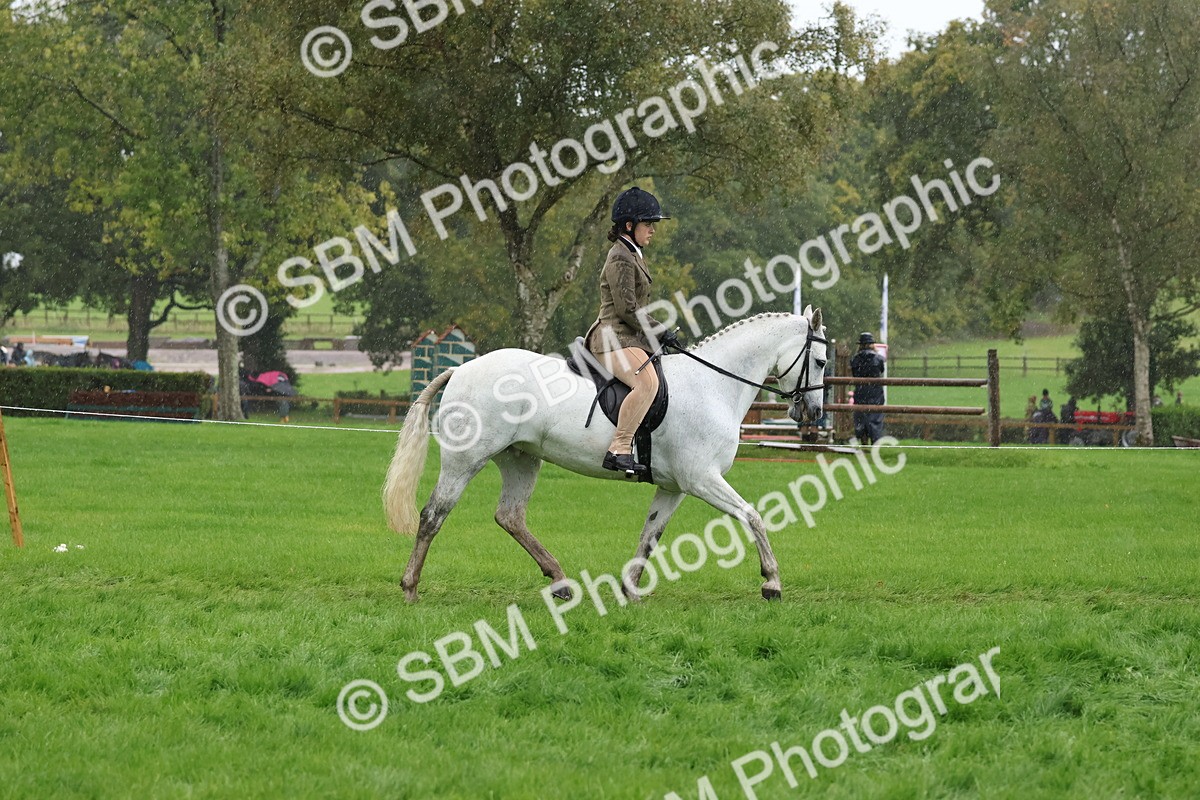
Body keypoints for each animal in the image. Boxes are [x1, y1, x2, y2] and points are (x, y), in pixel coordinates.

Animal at [383, 307, 827, 602]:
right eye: (822, 361)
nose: (812, 413)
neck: (712, 385)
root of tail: (462, 368)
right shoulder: (702, 479)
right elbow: (752, 516)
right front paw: (771, 582)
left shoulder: (676, 486)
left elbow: (651, 535)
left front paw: (629, 590)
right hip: (466, 460)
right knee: (434, 515)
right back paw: (410, 588)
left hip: (520, 458)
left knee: (510, 516)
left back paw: (560, 581)